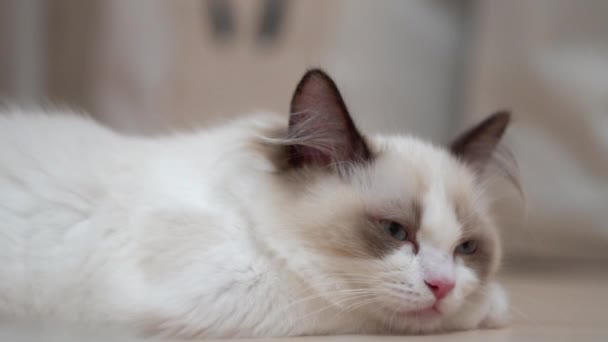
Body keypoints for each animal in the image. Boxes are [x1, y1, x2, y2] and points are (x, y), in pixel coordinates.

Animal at [0, 68, 516, 338]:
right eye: (394, 232)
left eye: (466, 249)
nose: (444, 286)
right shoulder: (224, 298)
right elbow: (347, 305)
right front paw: (487, 307)